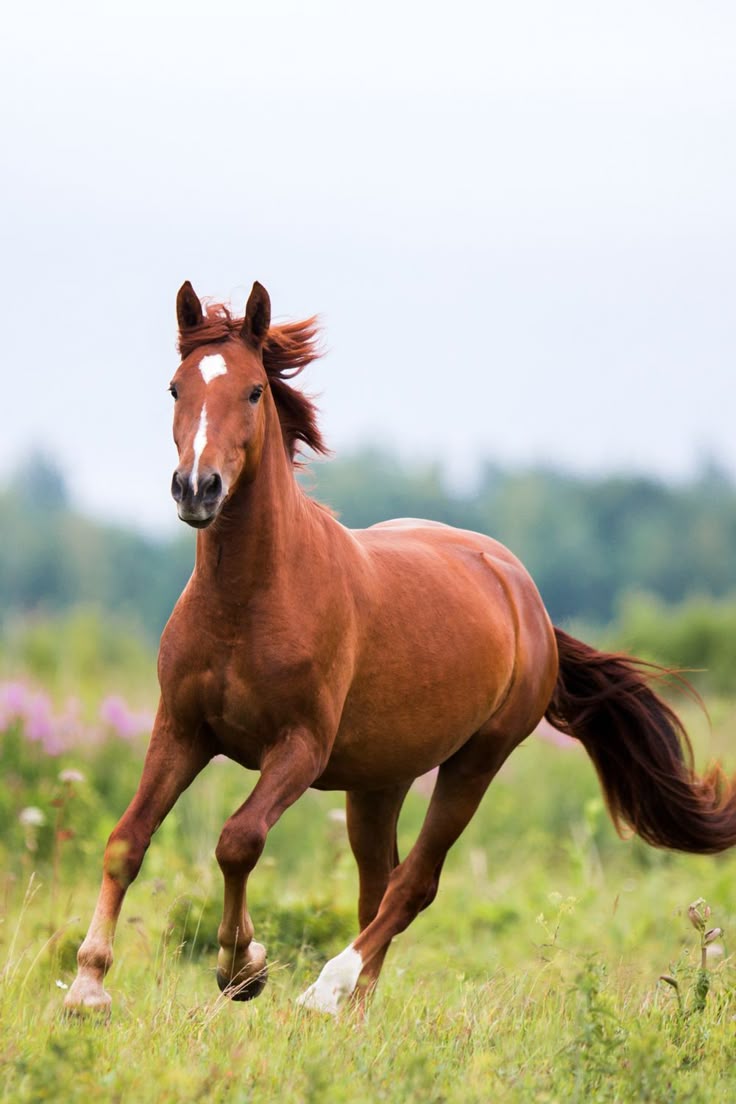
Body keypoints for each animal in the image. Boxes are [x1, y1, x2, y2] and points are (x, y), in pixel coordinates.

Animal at [65, 279, 736, 1017]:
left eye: (253, 391)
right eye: (176, 387)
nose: (196, 489)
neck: (248, 602)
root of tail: (524, 594)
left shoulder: (299, 749)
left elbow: (239, 841)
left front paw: (243, 967)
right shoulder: (181, 729)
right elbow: (127, 840)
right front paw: (88, 985)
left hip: (475, 761)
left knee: (413, 884)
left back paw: (328, 990)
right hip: (379, 779)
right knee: (376, 884)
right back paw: (355, 1011)